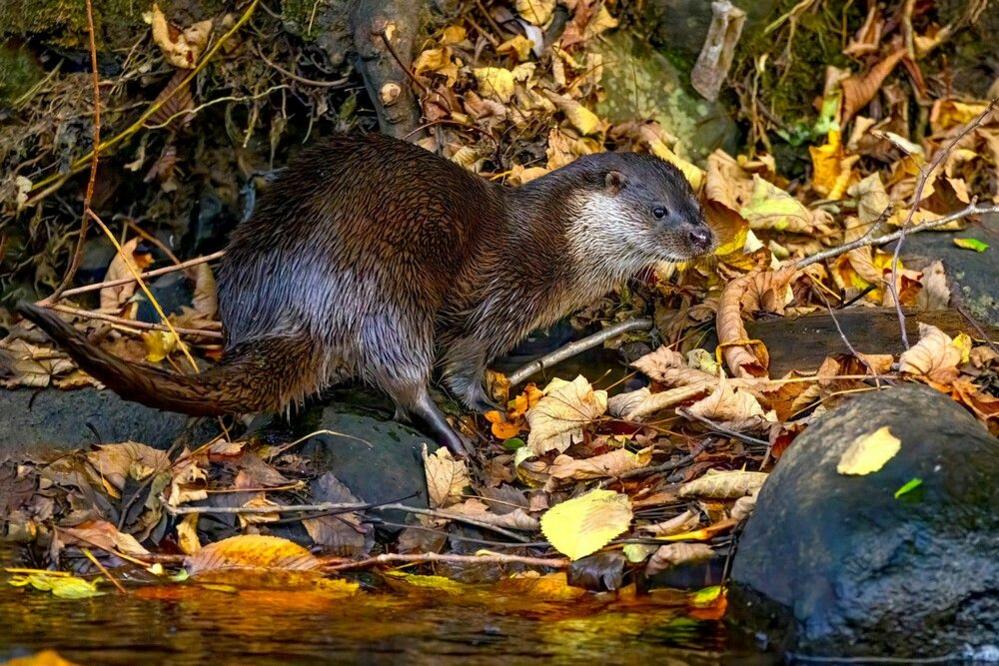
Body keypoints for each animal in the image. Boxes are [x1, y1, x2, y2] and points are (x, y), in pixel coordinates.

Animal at [19, 132, 716, 454]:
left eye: (693, 199)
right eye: (659, 211)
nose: (704, 235)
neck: (553, 241)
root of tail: (301, 302)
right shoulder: (502, 296)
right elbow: (461, 364)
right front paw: (487, 400)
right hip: (388, 288)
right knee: (407, 377)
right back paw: (455, 440)